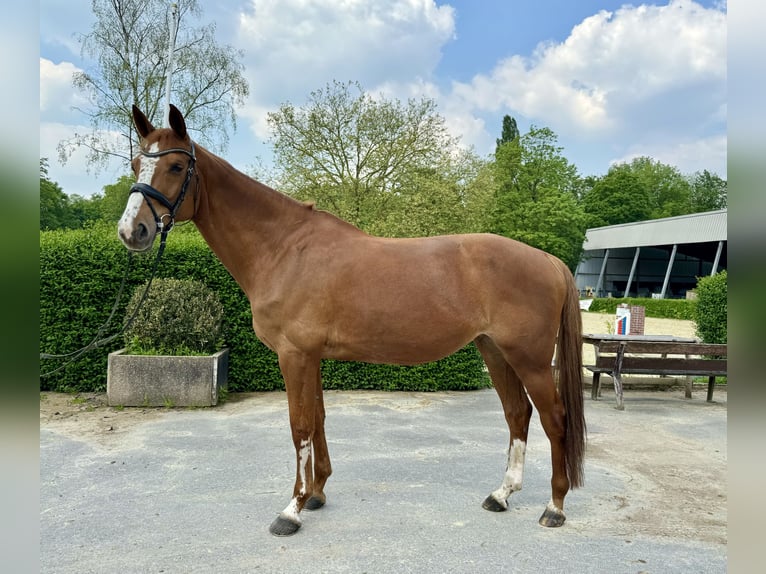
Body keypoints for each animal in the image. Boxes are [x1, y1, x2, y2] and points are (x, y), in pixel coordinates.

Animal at [118, 104, 588, 540]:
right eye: (137, 164)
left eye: (177, 166)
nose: (131, 231)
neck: (284, 249)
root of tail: (548, 260)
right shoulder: (311, 356)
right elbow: (319, 419)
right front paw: (317, 493)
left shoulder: (294, 355)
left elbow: (300, 427)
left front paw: (291, 509)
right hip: (494, 351)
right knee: (517, 414)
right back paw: (501, 494)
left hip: (529, 359)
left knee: (554, 419)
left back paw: (554, 507)